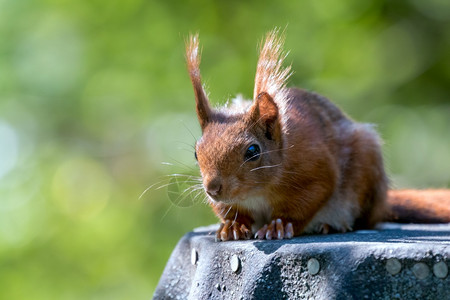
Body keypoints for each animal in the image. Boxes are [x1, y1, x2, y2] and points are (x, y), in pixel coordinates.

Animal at [183, 29, 450, 241]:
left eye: (252, 151)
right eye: (196, 153)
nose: (212, 188)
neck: (257, 193)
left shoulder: (313, 168)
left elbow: (308, 200)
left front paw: (279, 225)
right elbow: (233, 212)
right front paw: (233, 226)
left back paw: (331, 225)